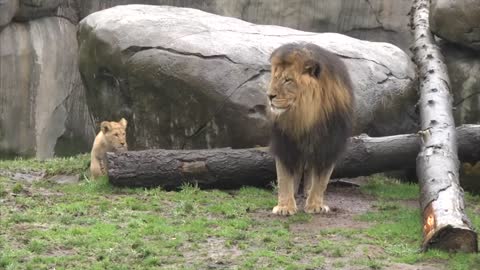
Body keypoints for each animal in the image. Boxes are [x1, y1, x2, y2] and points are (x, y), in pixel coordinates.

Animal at [268, 42, 354, 215]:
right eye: (275, 77)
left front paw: (315, 205)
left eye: (288, 80)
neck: (306, 115)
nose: (269, 96)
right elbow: (284, 176)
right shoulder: (285, 143)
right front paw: (285, 207)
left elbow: (322, 179)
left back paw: (307, 192)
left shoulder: (329, 144)